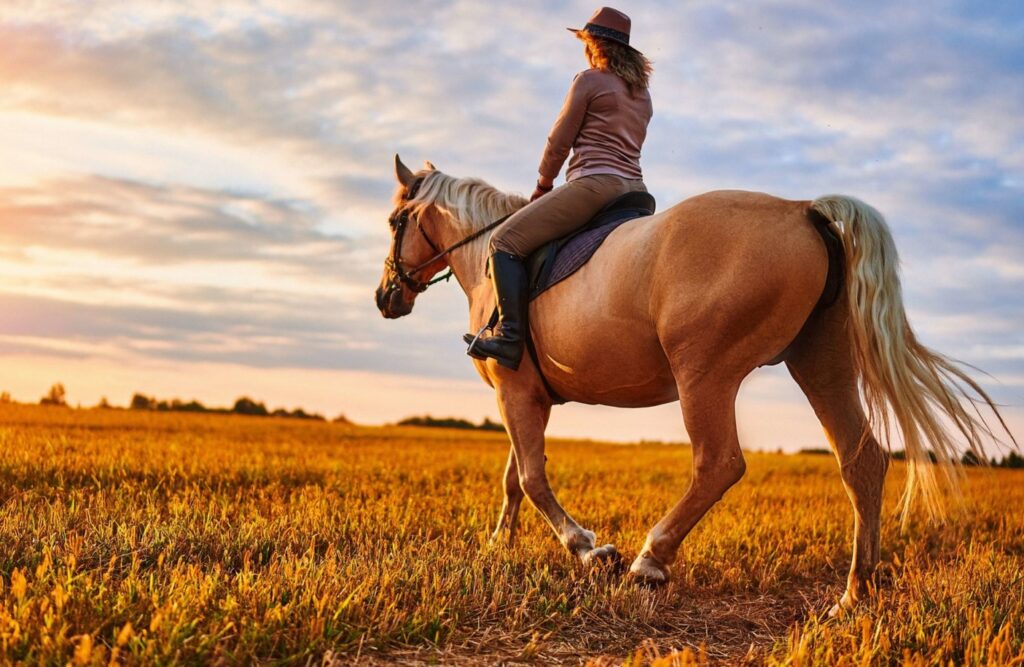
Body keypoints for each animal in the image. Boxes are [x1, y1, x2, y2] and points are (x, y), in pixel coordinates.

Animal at [375, 155, 1014, 614]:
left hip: (704, 373)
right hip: (821, 362)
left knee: (719, 463)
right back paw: (855, 595)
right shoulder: (525, 396)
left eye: (394, 221)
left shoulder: (513, 391)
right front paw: (498, 545)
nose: (385, 297)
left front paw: (590, 550)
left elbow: (530, 478)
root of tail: (803, 210)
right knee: (862, 462)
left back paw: (649, 561)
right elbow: (514, 478)